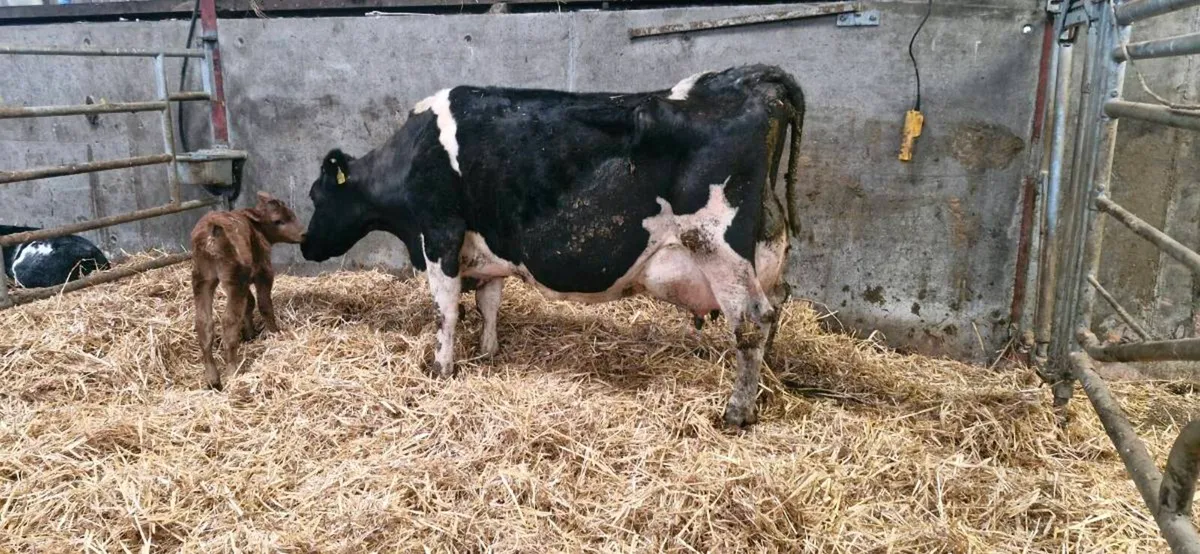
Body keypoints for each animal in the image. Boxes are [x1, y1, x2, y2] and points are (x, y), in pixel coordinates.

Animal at [191, 191, 306, 390]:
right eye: (278, 220)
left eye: (292, 214)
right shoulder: (263, 272)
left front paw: (250, 334)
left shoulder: (245, 282)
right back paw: (232, 372)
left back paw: (213, 379)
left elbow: (250, 303)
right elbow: (263, 304)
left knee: (203, 323)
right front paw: (274, 333)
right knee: (229, 321)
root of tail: (212, 228)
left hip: (202, 279)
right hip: (234, 279)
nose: (303, 234)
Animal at [299, 64, 804, 427]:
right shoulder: (485, 248)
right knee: (778, 303)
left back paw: (737, 410)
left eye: (315, 195)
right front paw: (487, 352)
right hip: (766, 247)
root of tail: (751, 77)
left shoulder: (439, 232)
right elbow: (488, 302)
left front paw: (441, 367)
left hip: (716, 244)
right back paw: (766, 380)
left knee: (752, 320)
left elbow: (446, 309)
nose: (304, 244)